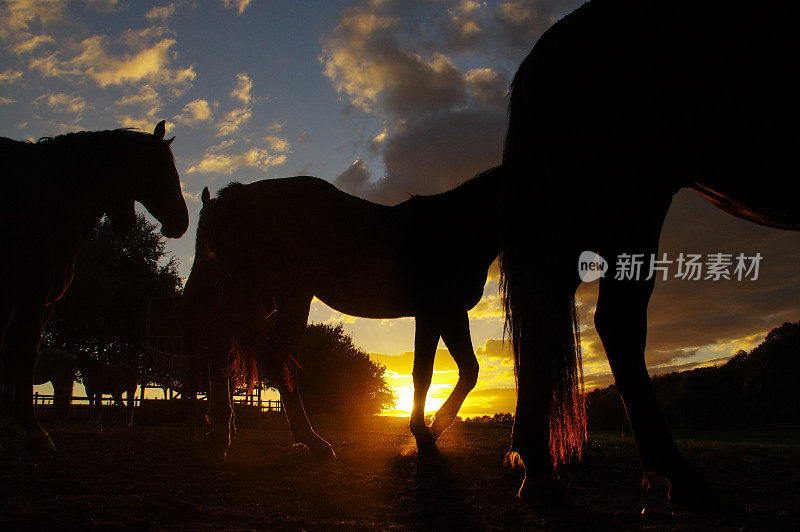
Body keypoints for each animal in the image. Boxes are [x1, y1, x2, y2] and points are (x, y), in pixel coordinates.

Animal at [184, 169, 504, 458]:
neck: (453, 226)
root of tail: (240, 194)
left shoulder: (450, 313)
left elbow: (469, 371)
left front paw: (433, 429)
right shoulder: (435, 312)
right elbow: (424, 374)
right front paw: (423, 435)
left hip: (260, 297)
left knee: (223, 348)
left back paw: (220, 434)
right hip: (288, 295)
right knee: (276, 356)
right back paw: (310, 440)